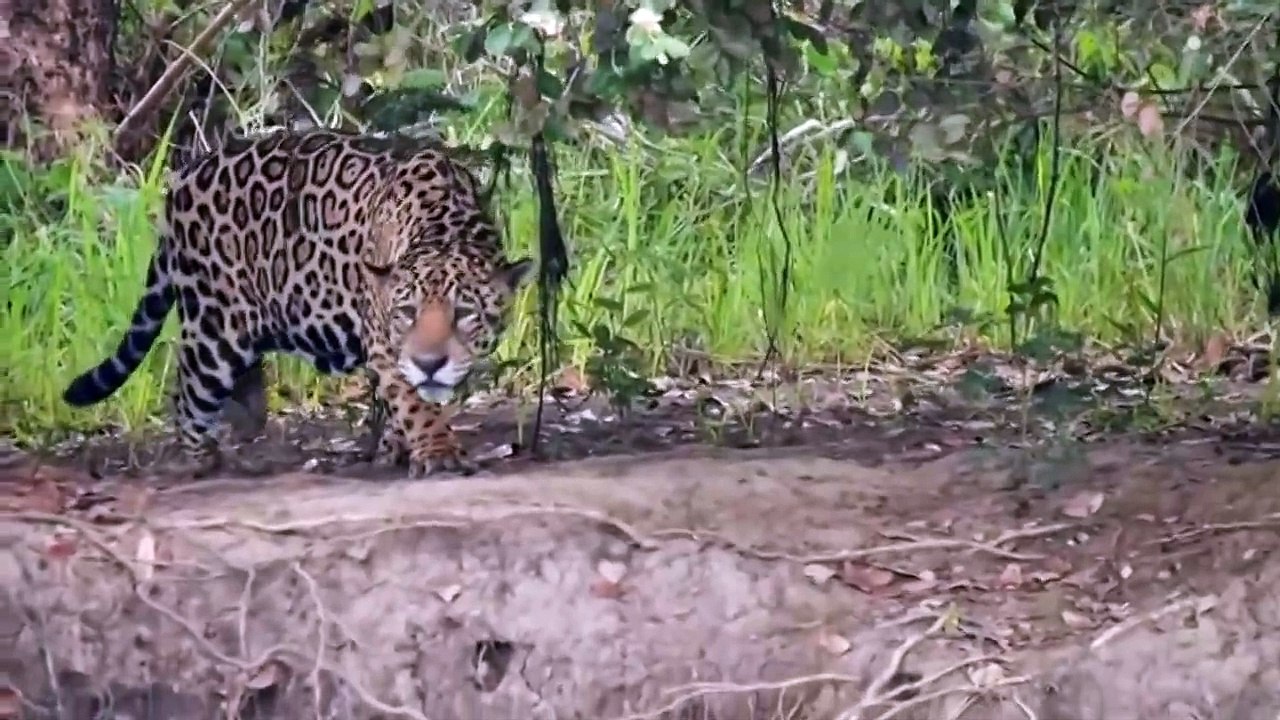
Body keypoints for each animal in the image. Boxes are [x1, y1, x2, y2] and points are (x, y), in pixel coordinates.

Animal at [61, 127, 536, 478]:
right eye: (406, 315)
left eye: (465, 314)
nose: (430, 364)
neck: (443, 226)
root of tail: (183, 179)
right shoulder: (383, 342)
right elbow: (413, 401)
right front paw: (436, 451)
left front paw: (396, 447)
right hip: (215, 327)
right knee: (187, 388)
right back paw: (202, 459)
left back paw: (244, 420)